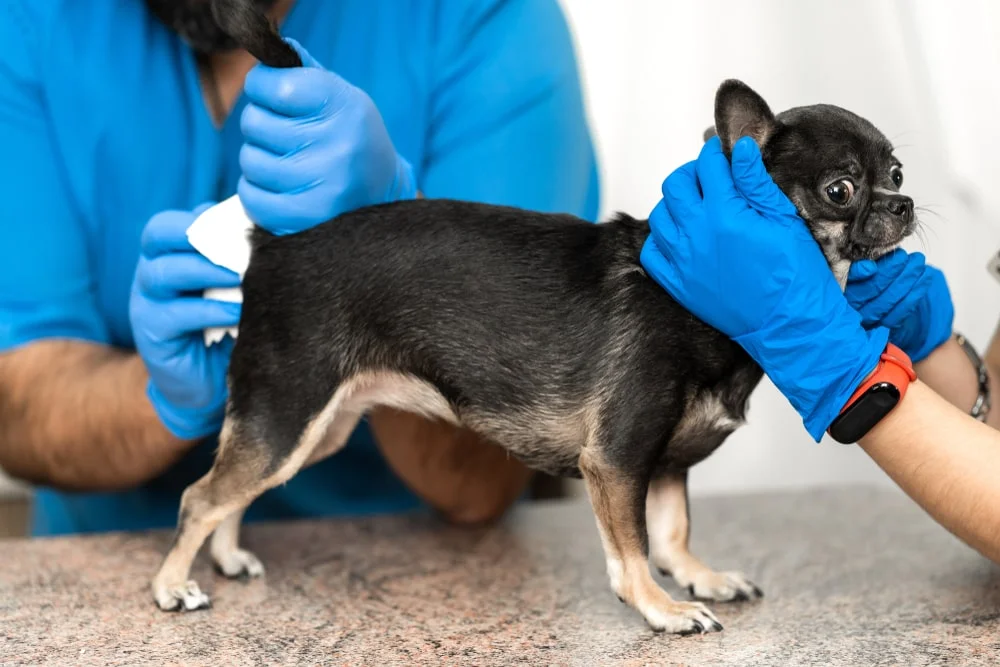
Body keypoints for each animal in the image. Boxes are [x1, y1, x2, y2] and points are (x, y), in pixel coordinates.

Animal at [154, 0, 916, 636]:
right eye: (841, 189)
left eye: (897, 173)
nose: (904, 203)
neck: (700, 301)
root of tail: (275, 242)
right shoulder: (617, 461)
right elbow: (635, 549)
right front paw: (662, 608)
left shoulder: (666, 464)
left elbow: (674, 533)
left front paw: (701, 577)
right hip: (288, 415)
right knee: (198, 495)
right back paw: (171, 586)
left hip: (315, 426)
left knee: (232, 492)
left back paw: (227, 557)